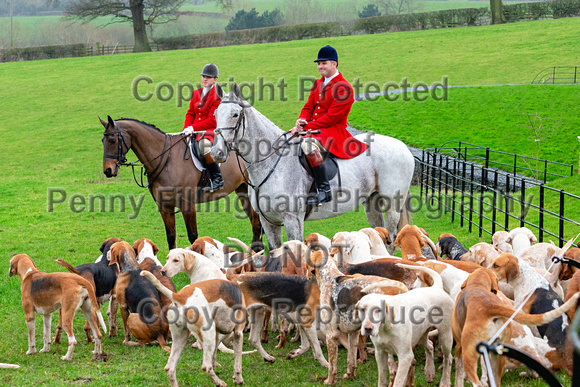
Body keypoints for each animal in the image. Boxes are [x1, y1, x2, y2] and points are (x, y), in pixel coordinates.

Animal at [101, 116, 262, 250]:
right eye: (103, 141)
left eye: (113, 140)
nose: (108, 170)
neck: (167, 159)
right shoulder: (164, 206)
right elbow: (171, 236)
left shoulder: (187, 205)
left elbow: (193, 237)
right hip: (242, 189)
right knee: (255, 221)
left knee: (256, 221)